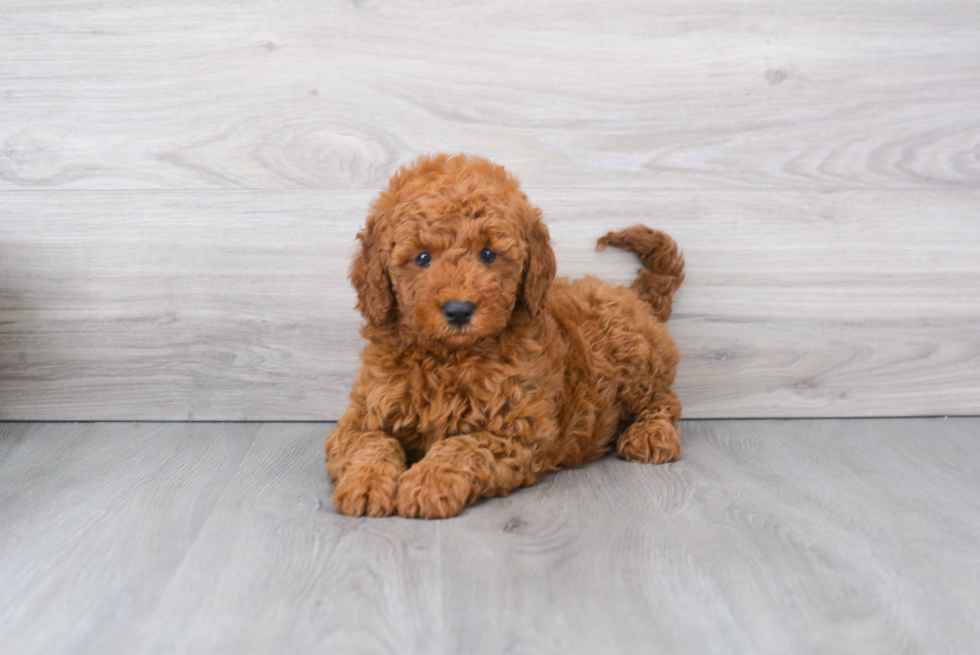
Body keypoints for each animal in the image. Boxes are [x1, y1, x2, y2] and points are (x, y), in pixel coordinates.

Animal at [326, 152, 684, 516]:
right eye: (422, 258)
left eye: (488, 254)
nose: (458, 310)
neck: (448, 357)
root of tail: (633, 295)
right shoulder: (361, 416)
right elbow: (369, 443)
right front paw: (366, 482)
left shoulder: (516, 432)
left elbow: (463, 447)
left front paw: (428, 482)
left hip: (633, 358)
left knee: (664, 400)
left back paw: (650, 435)